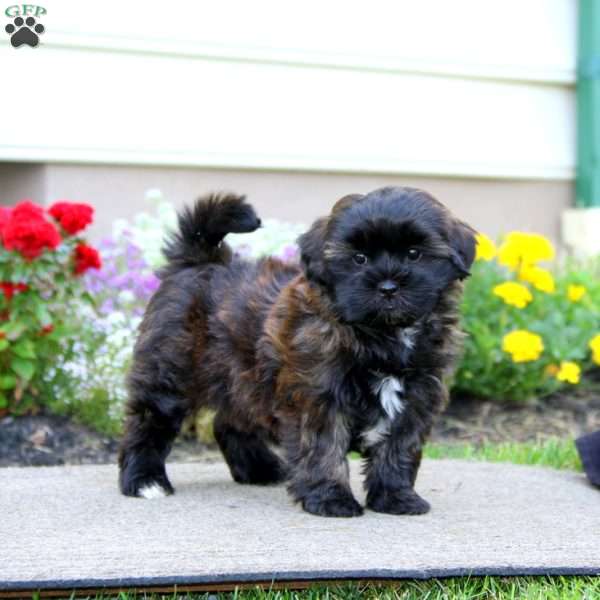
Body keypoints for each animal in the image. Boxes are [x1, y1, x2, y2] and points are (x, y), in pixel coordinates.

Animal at [118, 186, 474, 516]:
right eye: (358, 258)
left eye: (415, 254)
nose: (388, 286)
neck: (381, 334)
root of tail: (200, 260)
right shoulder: (318, 398)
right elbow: (323, 450)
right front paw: (331, 499)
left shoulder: (416, 399)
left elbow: (398, 449)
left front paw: (396, 497)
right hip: (170, 372)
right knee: (148, 421)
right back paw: (144, 481)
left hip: (242, 377)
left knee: (229, 422)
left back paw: (260, 469)